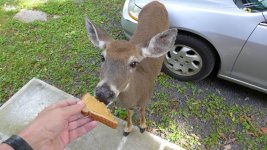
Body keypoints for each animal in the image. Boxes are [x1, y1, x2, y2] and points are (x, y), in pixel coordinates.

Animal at [86, 0, 178, 136]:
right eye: (102, 57)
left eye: (134, 63)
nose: (103, 93)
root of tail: (156, 2)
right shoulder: (127, 104)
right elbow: (129, 112)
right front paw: (127, 129)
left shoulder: (146, 97)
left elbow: (142, 109)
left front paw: (143, 126)